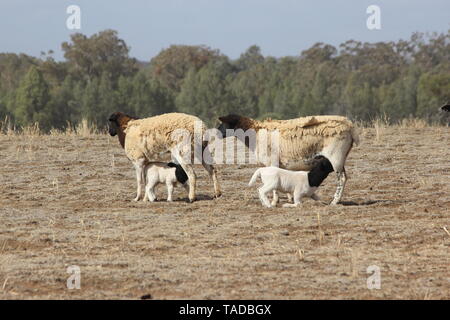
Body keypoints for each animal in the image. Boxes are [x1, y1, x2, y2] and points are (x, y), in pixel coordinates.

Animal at [216, 115, 360, 205]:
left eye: (223, 124)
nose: (216, 134)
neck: (255, 134)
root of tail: (350, 127)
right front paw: (289, 198)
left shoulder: (272, 161)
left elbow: (274, 186)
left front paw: (275, 201)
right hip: (340, 157)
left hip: (336, 157)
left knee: (342, 179)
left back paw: (335, 201)